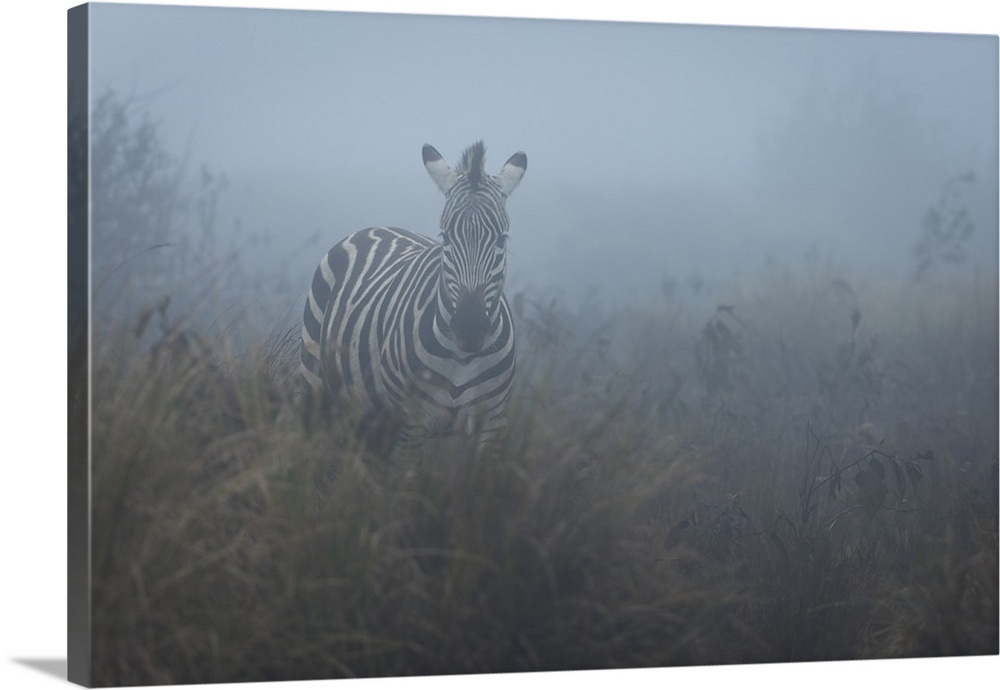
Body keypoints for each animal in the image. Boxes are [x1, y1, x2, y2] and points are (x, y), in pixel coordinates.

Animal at [300, 140, 528, 452]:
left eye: (501, 239)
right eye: (445, 237)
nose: (470, 328)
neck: (462, 359)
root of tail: (377, 226)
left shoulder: (492, 422)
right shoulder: (413, 423)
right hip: (316, 382)